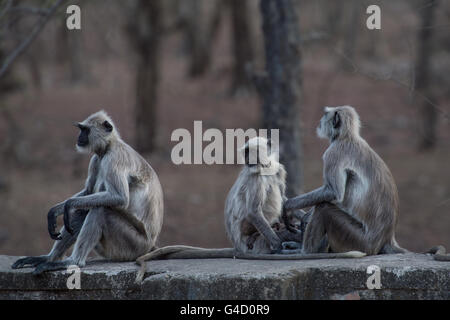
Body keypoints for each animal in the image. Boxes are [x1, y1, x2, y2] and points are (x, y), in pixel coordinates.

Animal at [11, 111, 164, 274]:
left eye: (85, 130)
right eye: (81, 129)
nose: (79, 137)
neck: (108, 146)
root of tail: (149, 245)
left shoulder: (114, 157)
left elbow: (120, 197)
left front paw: (68, 204)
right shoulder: (96, 159)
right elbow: (88, 191)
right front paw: (54, 212)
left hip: (132, 245)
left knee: (100, 209)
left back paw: (73, 262)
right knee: (83, 210)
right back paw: (49, 259)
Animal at [134, 136, 366, 282]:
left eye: (249, 151)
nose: (245, 158)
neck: (265, 166)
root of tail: (239, 246)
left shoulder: (278, 169)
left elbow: (284, 199)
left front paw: (298, 216)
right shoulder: (255, 177)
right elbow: (253, 211)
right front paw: (279, 245)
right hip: (254, 239)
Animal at [284, 106, 448, 262]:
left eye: (325, 115)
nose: (319, 122)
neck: (347, 137)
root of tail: (386, 240)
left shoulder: (334, 152)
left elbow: (333, 193)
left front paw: (288, 206)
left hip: (357, 240)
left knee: (324, 208)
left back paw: (305, 252)